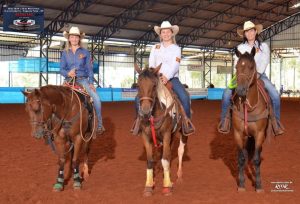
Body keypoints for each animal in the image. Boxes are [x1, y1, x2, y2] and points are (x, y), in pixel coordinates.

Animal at [134, 63, 188, 196]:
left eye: (154, 85)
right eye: (138, 85)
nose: (145, 111)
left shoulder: (166, 134)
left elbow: (165, 159)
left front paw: (167, 186)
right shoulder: (146, 136)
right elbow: (150, 160)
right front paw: (149, 185)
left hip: (182, 133)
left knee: (180, 151)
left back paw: (178, 177)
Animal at [231, 47, 270, 193]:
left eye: (251, 66)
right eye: (236, 67)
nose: (241, 90)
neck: (248, 107)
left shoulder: (259, 134)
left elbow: (257, 159)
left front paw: (258, 185)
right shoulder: (238, 133)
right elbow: (241, 158)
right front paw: (241, 184)